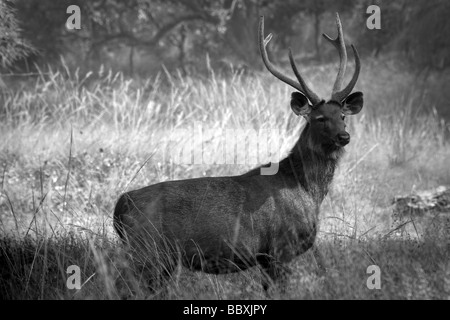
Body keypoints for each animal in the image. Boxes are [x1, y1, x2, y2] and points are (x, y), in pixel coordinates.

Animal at [112, 11, 362, 292]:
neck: (306, 190)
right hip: (147, 249)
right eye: (319, 119)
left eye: (342, 116)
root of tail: (121, 205)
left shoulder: (266, 257)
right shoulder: (280, 247)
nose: (344, 136)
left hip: (160, 258)